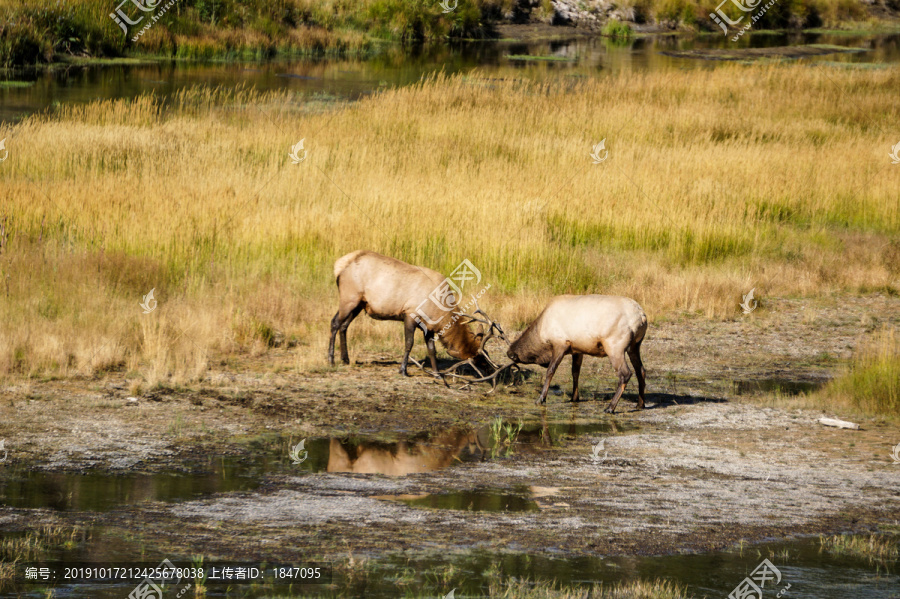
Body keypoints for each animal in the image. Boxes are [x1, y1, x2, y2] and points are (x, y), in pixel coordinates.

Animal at [326, 251, 488, 378]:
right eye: (476, 358)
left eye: (485, 353)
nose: (489, 366)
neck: (440, 310)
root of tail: (338, 266)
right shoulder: (410, 315)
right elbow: (409, 344)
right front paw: (403, 370)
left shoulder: (429, 327)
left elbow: (432, 350)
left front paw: (437, 374)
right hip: (349, 298)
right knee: (335, 322)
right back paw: (331, 360)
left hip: (359, 304)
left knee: (344, 326)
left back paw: (345, 359)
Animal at [506, 294, 648, 412]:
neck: (541, 334)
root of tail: (641, 316)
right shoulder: (577, 349)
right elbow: (575, 372)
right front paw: (574, 398)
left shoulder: (560, 343)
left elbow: (550, 371)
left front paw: (541, 399)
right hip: (635, 346)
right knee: (641, 370)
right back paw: (640, 404)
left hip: (615, 346)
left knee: (625, 373)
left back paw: (610, 407)